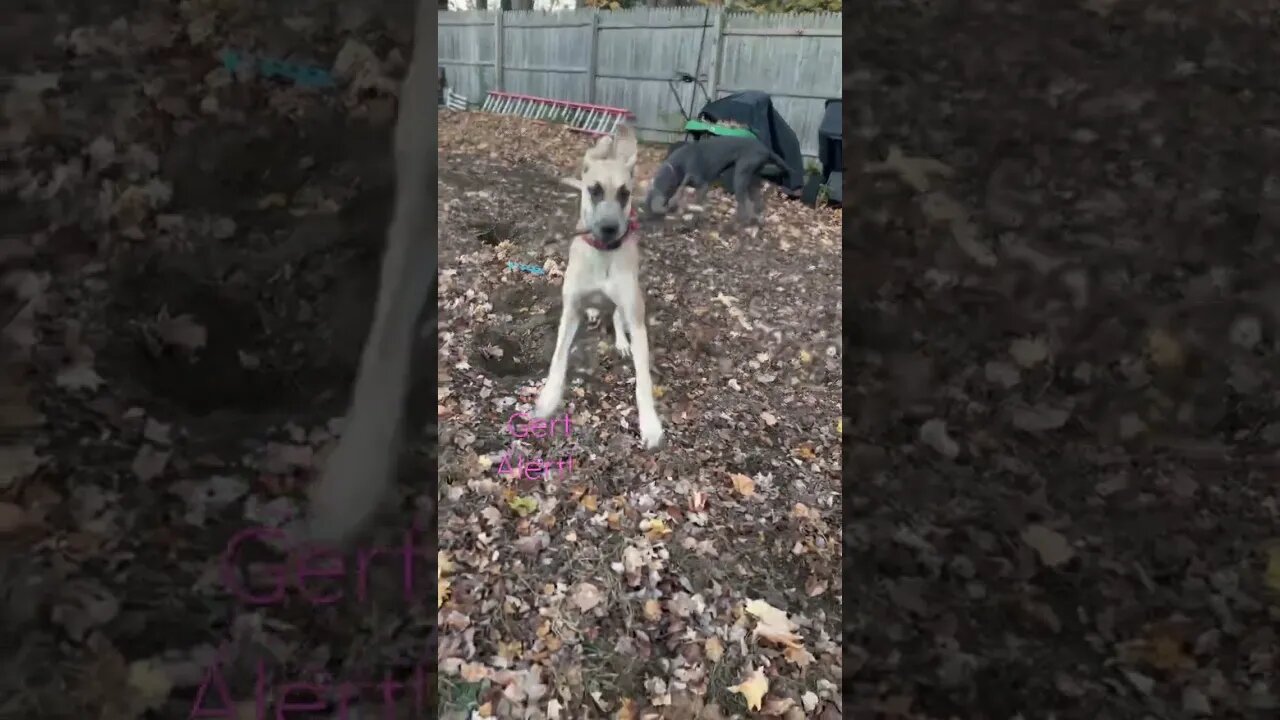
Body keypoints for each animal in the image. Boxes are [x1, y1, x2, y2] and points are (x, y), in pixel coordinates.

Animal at [542, 126, 665, 445]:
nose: (610, 229)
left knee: (617, 316)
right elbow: (558, 357)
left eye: (625, 193)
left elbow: (643, 379)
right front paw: (548, 397)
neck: (603, 254)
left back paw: (620, 339)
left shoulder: (636, 319)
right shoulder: (571, 309)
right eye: (594, 190)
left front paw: (650, 423)